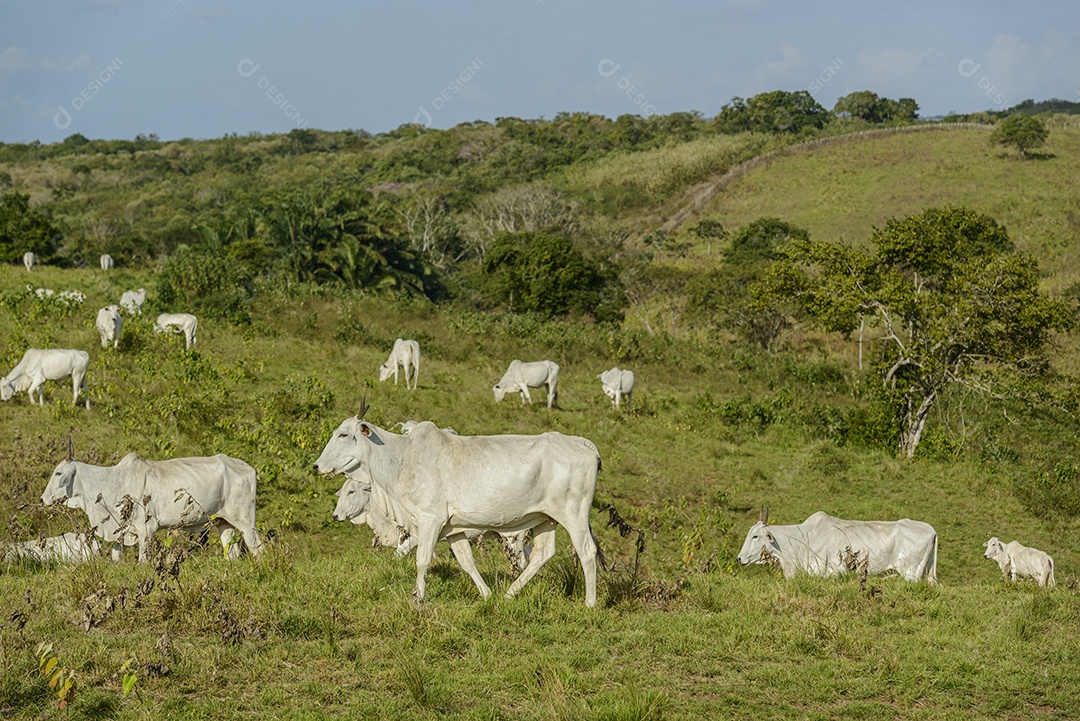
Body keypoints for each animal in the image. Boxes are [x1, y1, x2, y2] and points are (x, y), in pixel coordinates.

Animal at [41, 446, 263, 561]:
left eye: (58, 473)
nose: (42, 499)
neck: (114, 481)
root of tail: (246, 467)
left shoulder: (145, 529)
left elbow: (143, 560)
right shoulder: (122, 530)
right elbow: (116, 555)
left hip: (246, 522)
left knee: (257, 547)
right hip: (223, 522)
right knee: (231, 551)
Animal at [313, 399, 604, 608]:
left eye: (343, 435)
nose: (316, 466)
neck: (402, 458)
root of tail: (582, 443)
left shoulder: (429, 519)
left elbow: (422, 560)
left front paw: (418, 599)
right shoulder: (453, 528)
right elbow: (466, 562)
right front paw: (486, 595)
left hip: (573, 514)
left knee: (586, 552)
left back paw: (589, 603)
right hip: (545, 518)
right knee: (543, 554)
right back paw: (509, 594)